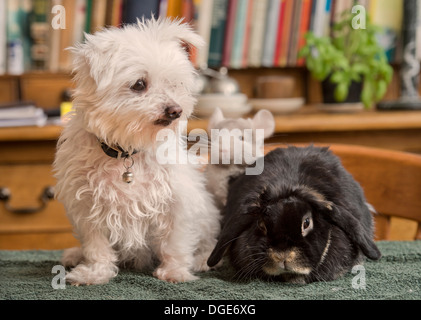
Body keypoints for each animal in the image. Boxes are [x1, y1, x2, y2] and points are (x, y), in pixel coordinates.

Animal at [53, 18, 220, 284]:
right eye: (139, 84)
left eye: (175, 84)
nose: (176, 111)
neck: (127, 150)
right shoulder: (87, 204)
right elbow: (96, 245)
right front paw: (95, 272)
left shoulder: (177, 201)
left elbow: (175, 242)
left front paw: (175, 271)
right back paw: (74, 254)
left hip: (207, 217)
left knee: (207, 241)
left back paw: (204, 259)